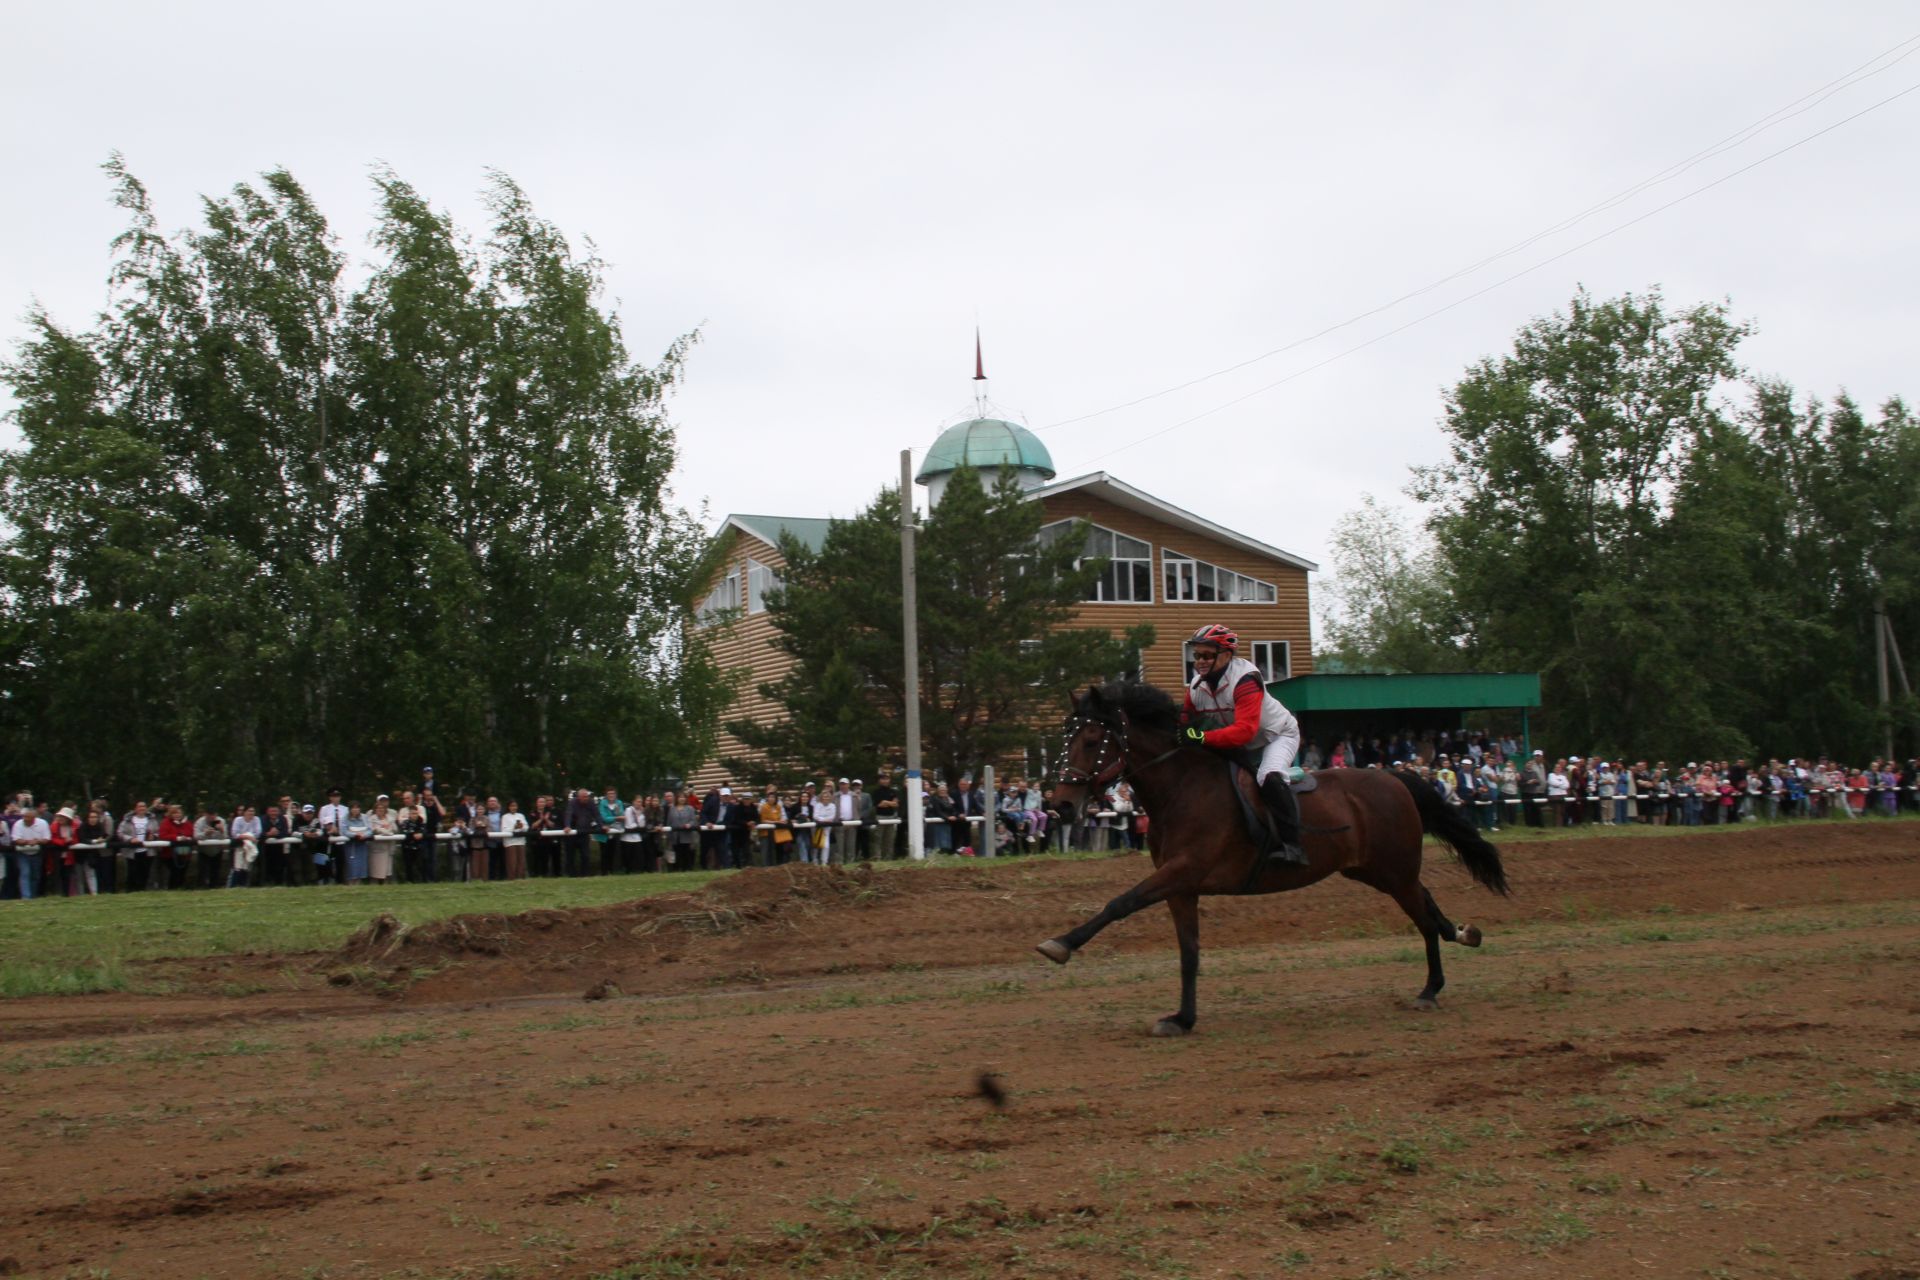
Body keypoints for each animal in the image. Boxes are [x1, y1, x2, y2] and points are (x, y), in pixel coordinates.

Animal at [1044, 687, 1505, 1036]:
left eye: (1090, 741)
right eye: (1063, 741)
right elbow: (1189, 952)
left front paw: (1061, 944)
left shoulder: (1182, 870)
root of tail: (1394, 777)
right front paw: (1183, 1018)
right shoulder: (1181, 885)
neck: (1181, 787)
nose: (1060, 807)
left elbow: (1120, 903)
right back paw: (1461, 934)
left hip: (1395, 871)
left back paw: (1430, 989)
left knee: (1423, 920)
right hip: (1376, 870)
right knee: (1427, 904)